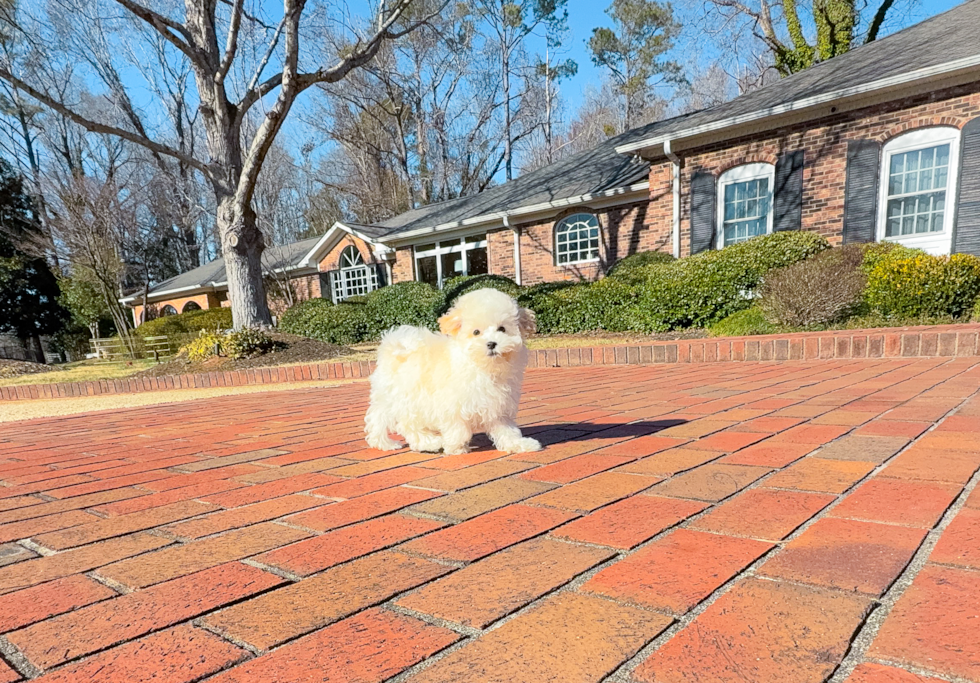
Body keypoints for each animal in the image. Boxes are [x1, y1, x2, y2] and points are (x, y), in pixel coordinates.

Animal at [364, 288, 540, 454]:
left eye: (502, 329)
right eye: (476, 332)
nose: (491, 343)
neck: (483, 367)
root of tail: (392, 344)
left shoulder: (499, 405)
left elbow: (506, 429)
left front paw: (518, 444)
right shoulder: (450, 404)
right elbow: (458, 428)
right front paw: (456, 448)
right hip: (403, 399)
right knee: (397, 423)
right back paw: (421, 443)